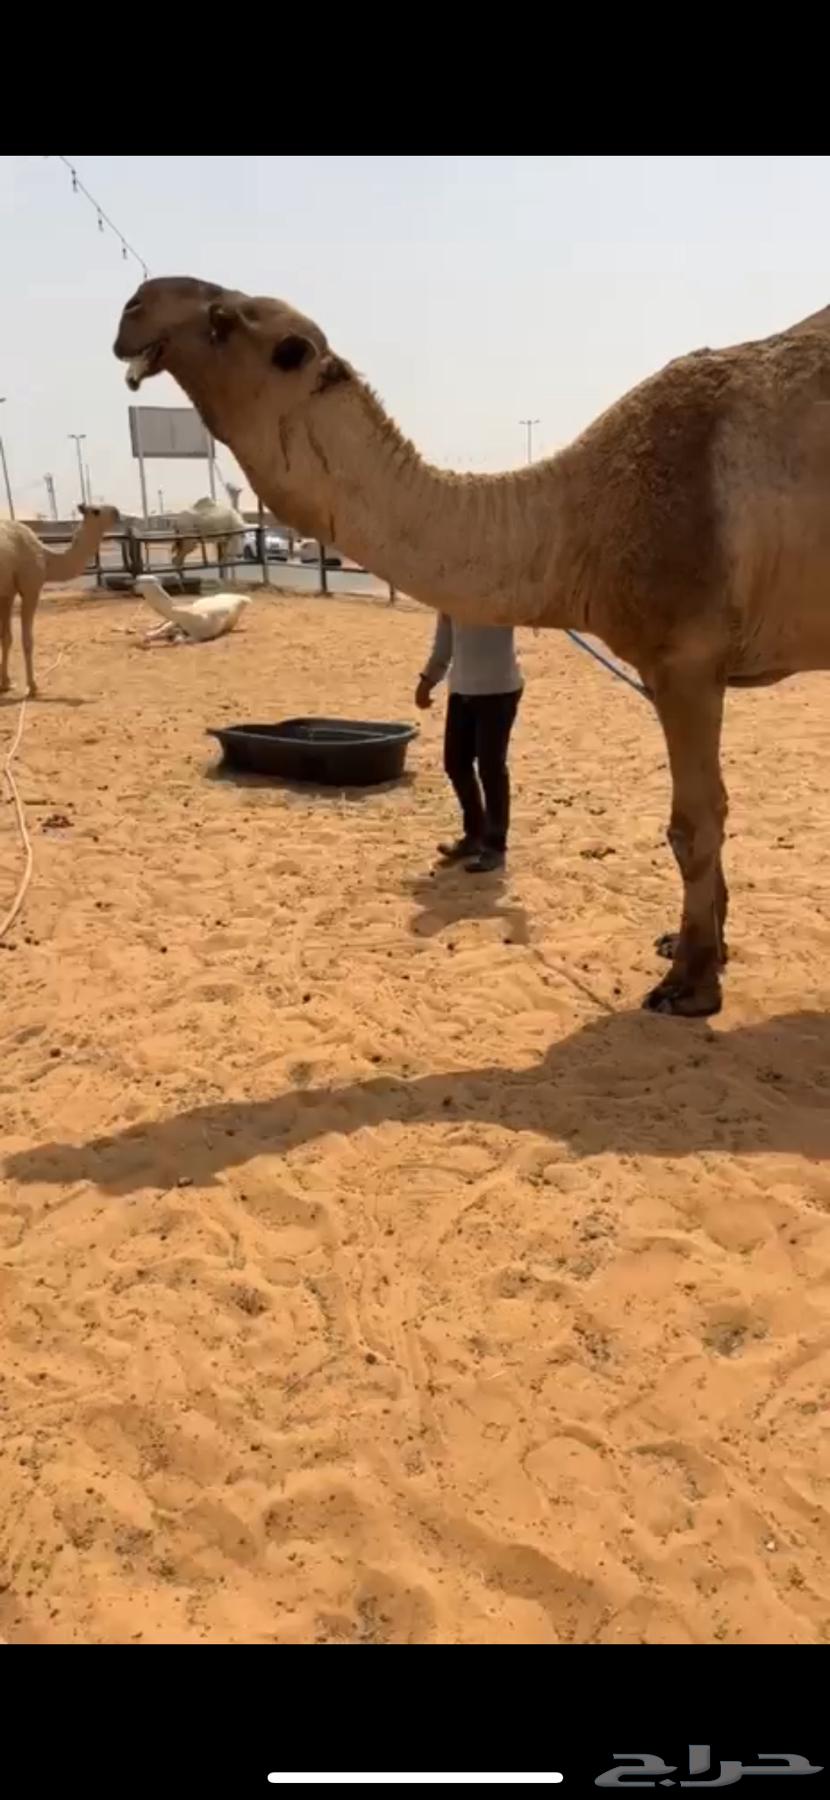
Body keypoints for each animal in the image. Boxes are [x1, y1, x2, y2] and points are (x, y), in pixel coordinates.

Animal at [0, 503, 119, 697]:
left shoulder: (7, 593)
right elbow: (27, 640)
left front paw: (6, 683)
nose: (117, 512)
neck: (46, 558)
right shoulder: (31, 588)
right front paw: (33, 686)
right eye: (96, 511)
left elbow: (6, 638)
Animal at [114, 276, 830, 1018]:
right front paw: (697, 949)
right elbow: (714, 808)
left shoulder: (685, 657)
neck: (584, 520)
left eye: (226, 319)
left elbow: (693, 823)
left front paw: (689, 985)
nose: (134, 308)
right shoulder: (686, 670)